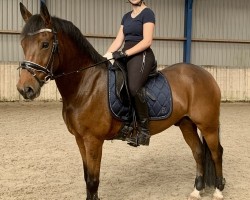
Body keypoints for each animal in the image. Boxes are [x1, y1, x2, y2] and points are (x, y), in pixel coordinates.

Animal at [16, 1, 226, 200]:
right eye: (23, 44)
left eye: (45, 44)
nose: (25, 89)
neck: (85, 85)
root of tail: (205, 74)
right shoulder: (80, 139)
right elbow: (86, 177)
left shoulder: (93, 140)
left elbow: (92, 180)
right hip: (186, 123)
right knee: (198, 152)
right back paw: (197, 190)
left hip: (208, 125)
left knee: (216, 153)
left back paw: (218, 190)